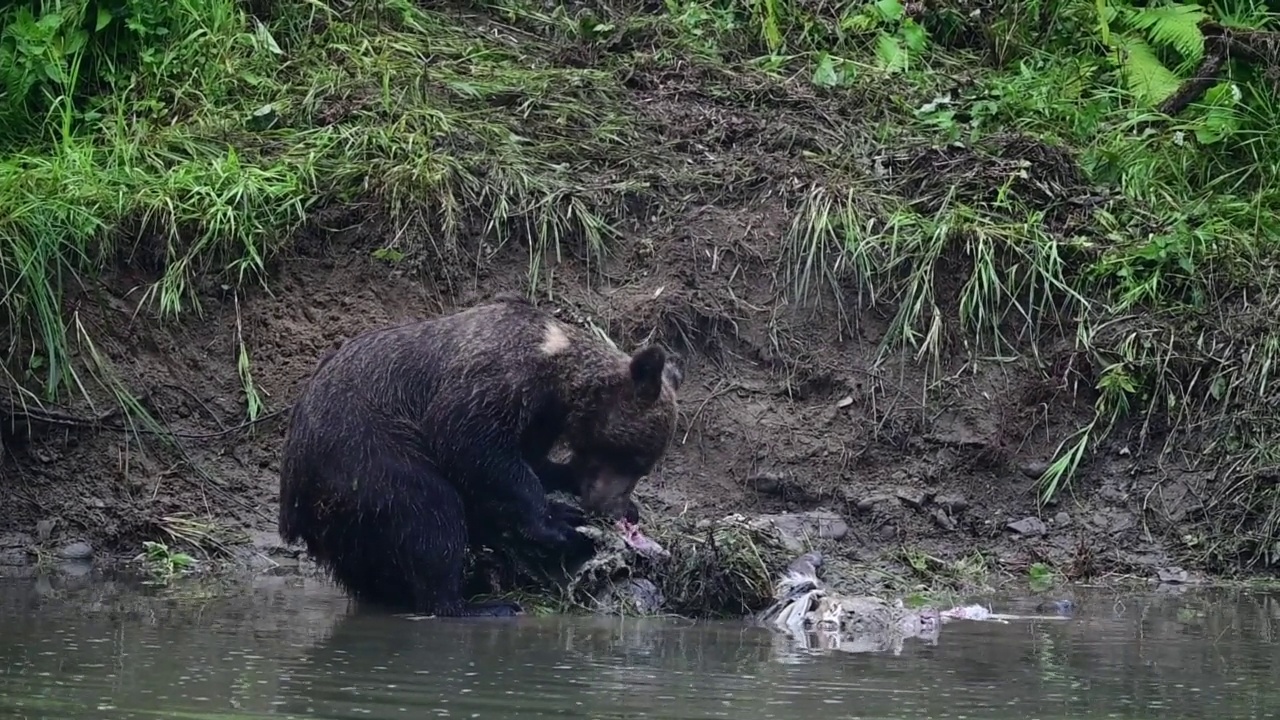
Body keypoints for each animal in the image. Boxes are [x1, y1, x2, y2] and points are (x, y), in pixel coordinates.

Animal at [276, 294, 686, 614]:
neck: (559, 378)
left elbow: (530, 460)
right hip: (363, 449)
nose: (614, 507)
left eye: (644, 466)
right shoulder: (496, 380)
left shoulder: (538, 418)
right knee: (427, 508)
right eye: (635, 459)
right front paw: (558, 522)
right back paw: (476, 604)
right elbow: (472, 445)